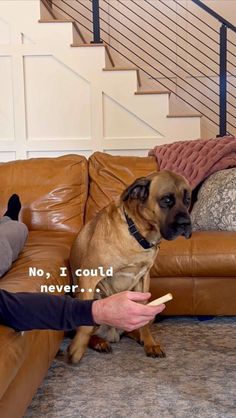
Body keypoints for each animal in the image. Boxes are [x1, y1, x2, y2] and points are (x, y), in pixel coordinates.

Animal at [68, 170, 192, 362]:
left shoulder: (143, 279)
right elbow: (85, 325)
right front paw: (77, 348)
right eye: (166, 200)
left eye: (187, 200)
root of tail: (113, 333)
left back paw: (138, 336)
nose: (187, 224)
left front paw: (149, 343)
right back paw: (99, 342)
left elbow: (144, 320)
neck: (137, 233)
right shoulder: (89, 276)